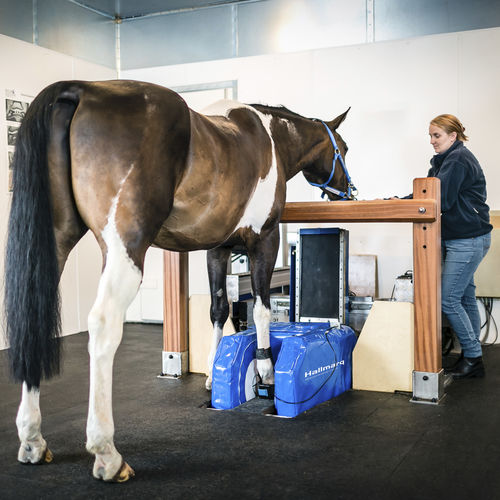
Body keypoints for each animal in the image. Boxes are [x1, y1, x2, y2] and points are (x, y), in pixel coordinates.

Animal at [5, 80, 354, 482]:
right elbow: (262, 309)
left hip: (53, 242)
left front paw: (212, 374)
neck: (268, 137)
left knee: (32, 318)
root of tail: (81, 90)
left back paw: (32, 438)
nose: (349, 193)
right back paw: (106, 452)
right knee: (104, 326)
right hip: (125, 249)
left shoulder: (218, 248)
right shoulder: (263, 240)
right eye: (343, 149)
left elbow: (219, 310)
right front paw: (265, 368)